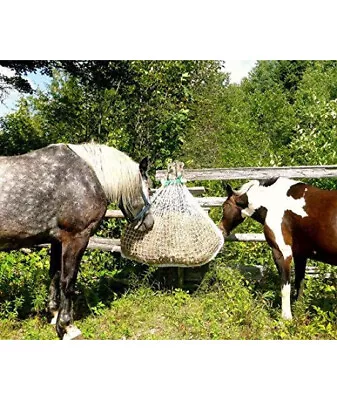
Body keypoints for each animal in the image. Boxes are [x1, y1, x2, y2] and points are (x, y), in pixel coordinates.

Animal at [218, 177, 337, 320]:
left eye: (224, 207)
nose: (221, 229)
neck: (274, 201)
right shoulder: (300, 255)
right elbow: (299, 285)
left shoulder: (282, 253)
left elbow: (285, 287)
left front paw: (286, 318)